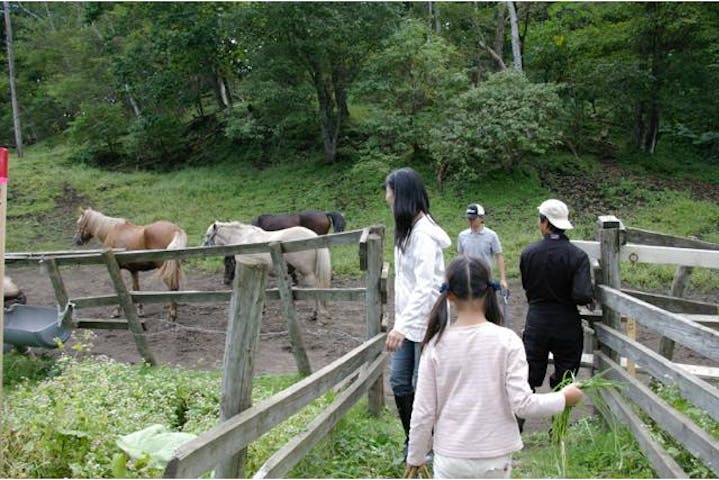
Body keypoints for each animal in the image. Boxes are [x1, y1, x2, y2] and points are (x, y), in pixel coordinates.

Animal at [204, 222, 334, 320]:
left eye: (208, 235)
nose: (225, 281)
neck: (243, 238)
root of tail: (313, 235)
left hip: (307, 273)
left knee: (315, 289)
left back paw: (314, 313)